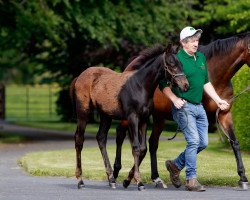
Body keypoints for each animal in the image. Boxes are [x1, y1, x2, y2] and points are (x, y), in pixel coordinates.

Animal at [70, 44, 189, 191]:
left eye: (181, 64)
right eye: (172, 64)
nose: (185, 85)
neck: (140, 86)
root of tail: (79, 77)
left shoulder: (144, 119)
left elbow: (143, 148)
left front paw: (128, 180)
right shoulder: (133, 117)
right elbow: (136, 147)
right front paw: (139, 182)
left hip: (106, 115)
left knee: (101, 138)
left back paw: (111, 179)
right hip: (83, 113)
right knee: (79, 140)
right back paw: (80, 180)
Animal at [114, 32, 250, 188]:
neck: (216, 77)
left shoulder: (224, 114)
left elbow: (234, 142)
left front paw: (243, 177)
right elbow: (194, 145)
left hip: (158, 118)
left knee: (152, 143)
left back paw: (155, 178)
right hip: (132, 117)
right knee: (120, 135)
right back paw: (116, 172)